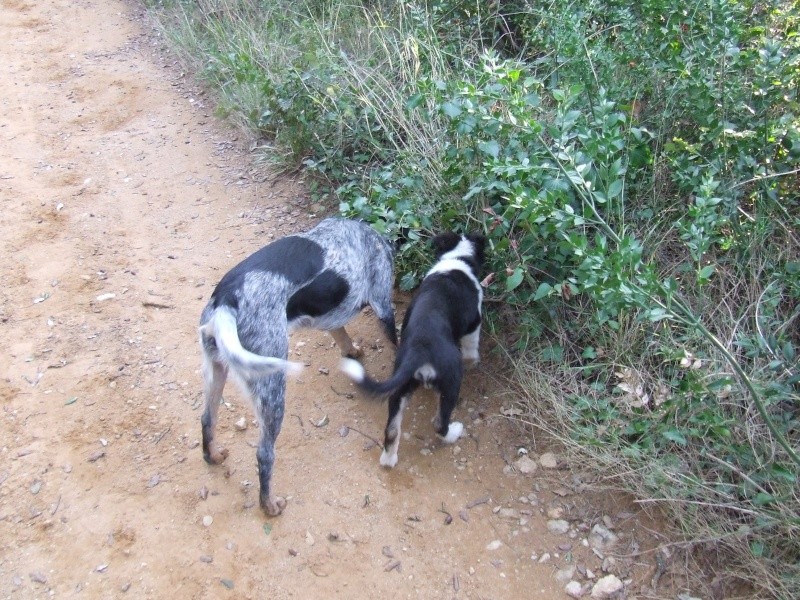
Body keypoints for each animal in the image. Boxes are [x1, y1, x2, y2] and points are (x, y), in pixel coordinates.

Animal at [199, 218, 396, 516]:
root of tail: (226, 302)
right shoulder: (383, 305)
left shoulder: (334, 316)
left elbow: (341, 334)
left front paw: (351, 350)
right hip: (272, 388)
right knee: (264, 453)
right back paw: (269, 504)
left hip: (217, 369)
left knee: (207, 419)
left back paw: (213, 455)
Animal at [340, 230, 484, 468]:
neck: (457, 258)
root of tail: (419, 352)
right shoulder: (474, 322)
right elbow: (472, 346)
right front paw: (473, 361)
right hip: (451, 382)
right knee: (439, 423)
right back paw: (454, 433)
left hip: (399, 389)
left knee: (391, 430)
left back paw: (388, 460)